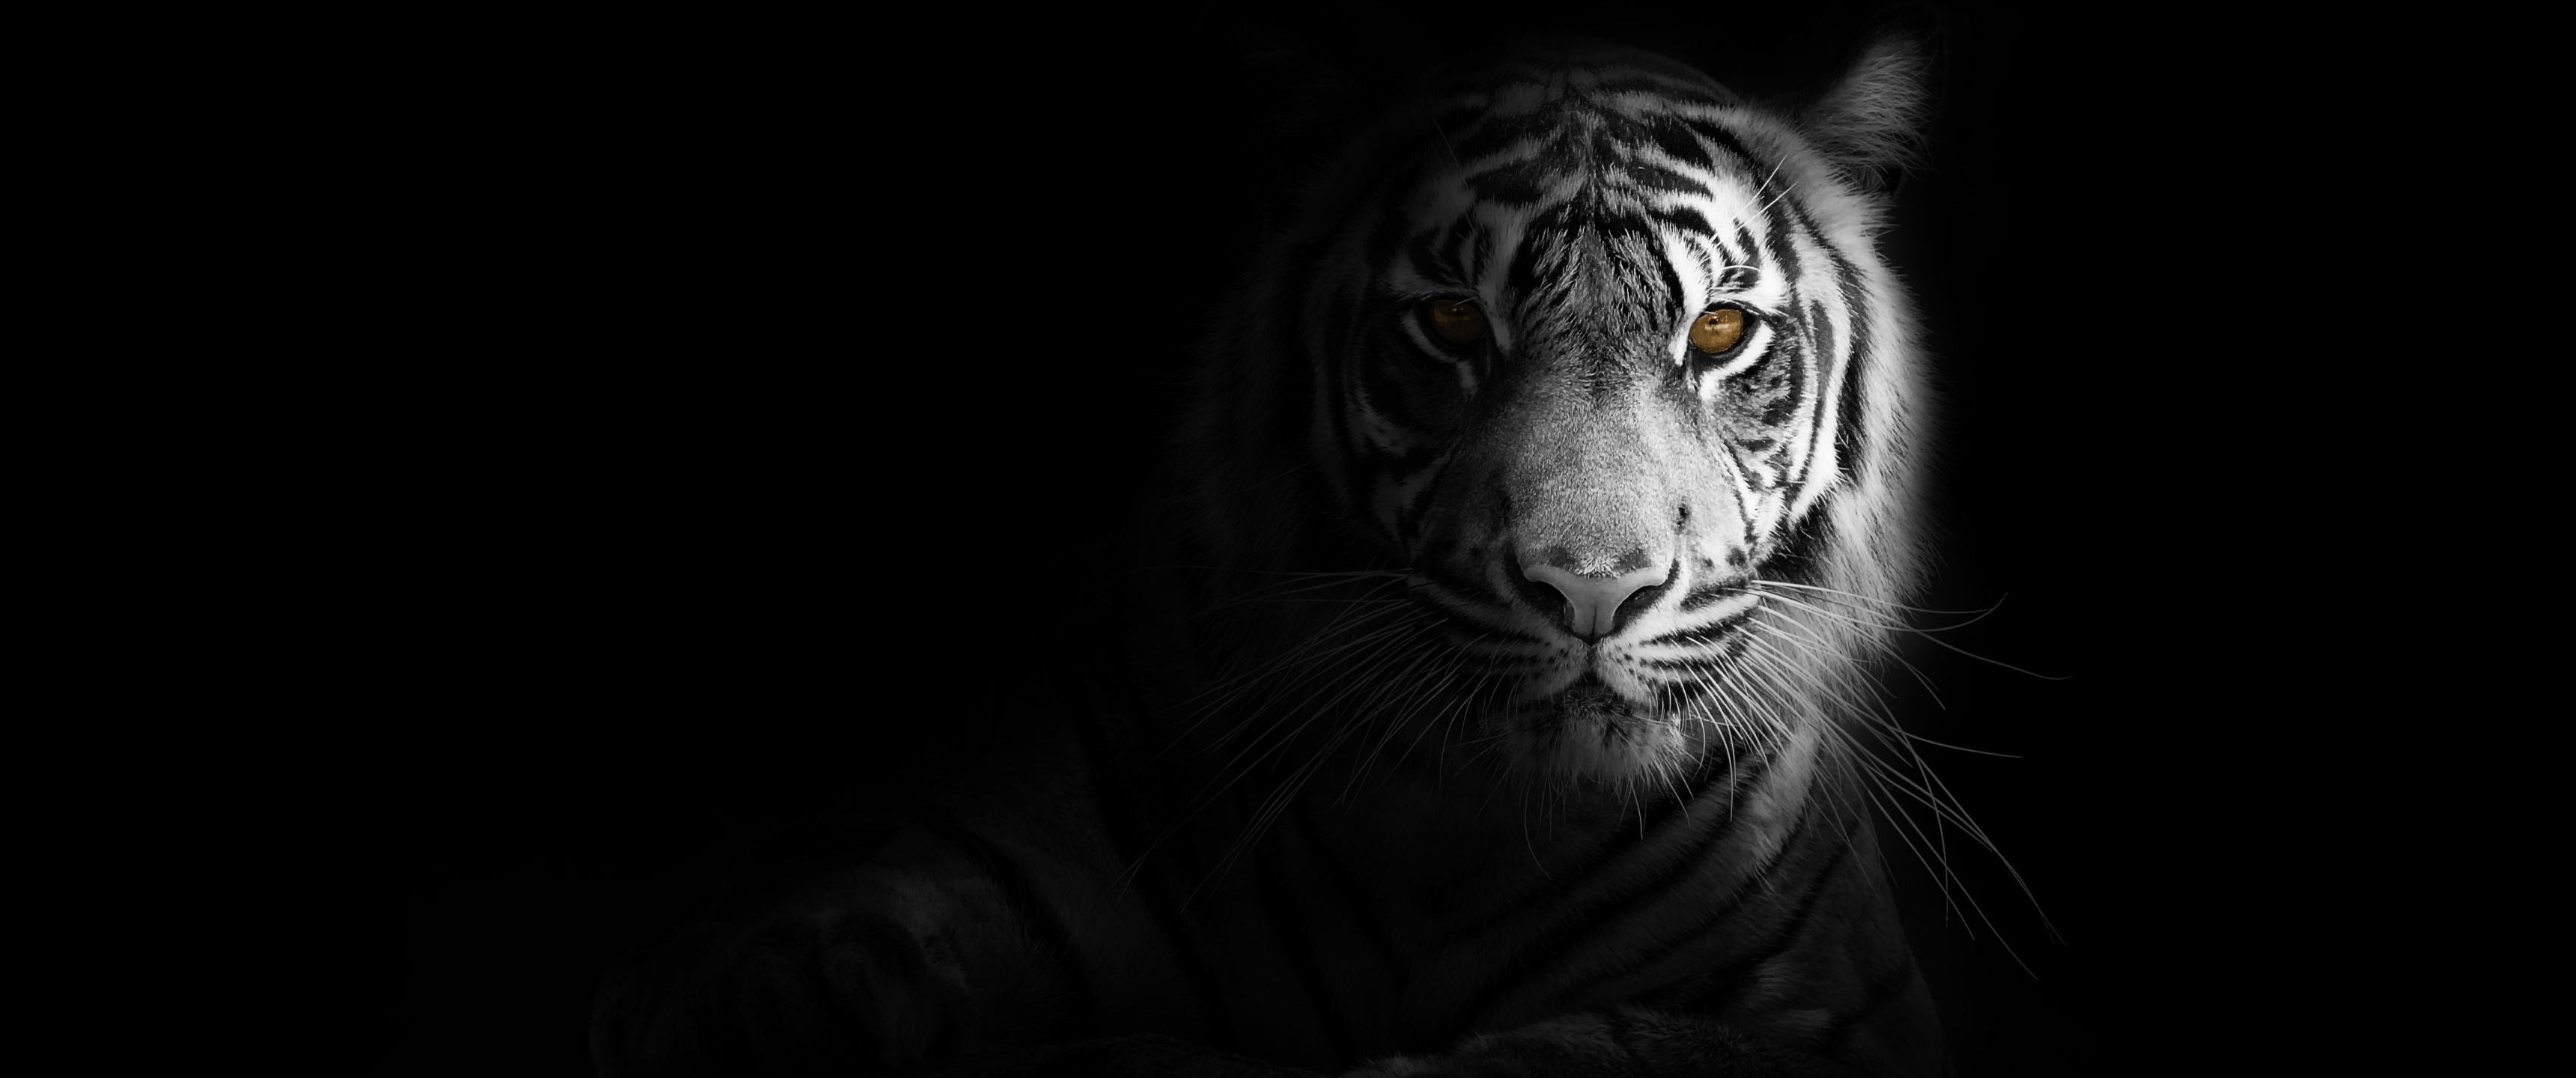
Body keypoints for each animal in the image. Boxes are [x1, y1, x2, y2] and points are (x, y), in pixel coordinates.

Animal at [597, 22, 1961, 1078]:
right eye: (1451, 322)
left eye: (1719, 333)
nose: (1591, 588)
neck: (1464, 825)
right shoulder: (987, 848)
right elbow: (799, 962)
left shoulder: (1846, 1012)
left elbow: (1610, 1043)